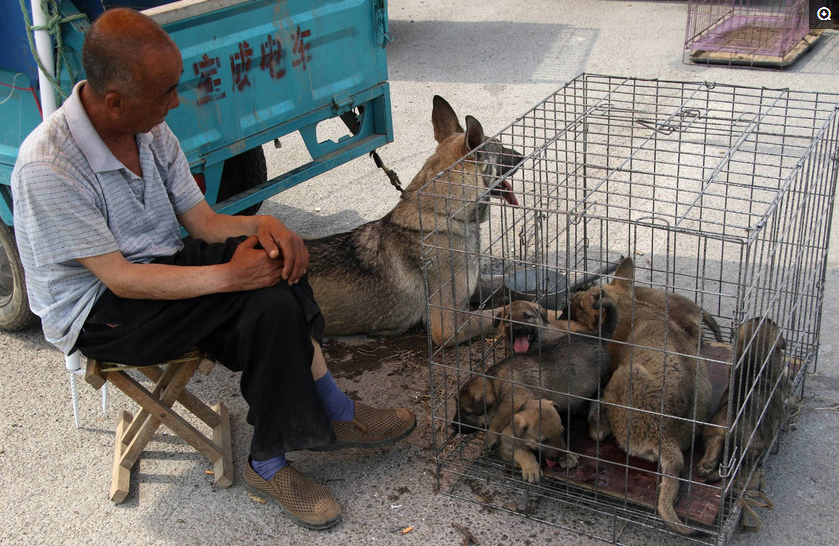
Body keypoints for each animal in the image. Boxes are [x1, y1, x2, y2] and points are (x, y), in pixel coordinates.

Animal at [306, 95, 520, 344]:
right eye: (501, 149)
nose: (521, 155)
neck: (446, 216)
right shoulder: (448, 324)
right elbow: (501, 312)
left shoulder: (475, 285)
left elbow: (504, 282)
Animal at [576, 258, 716, 532]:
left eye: (583, 303)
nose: (573, 295)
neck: (631, 308)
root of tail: (666, 436)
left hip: (622, 377)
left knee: (601, 427)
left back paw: (595, 420)